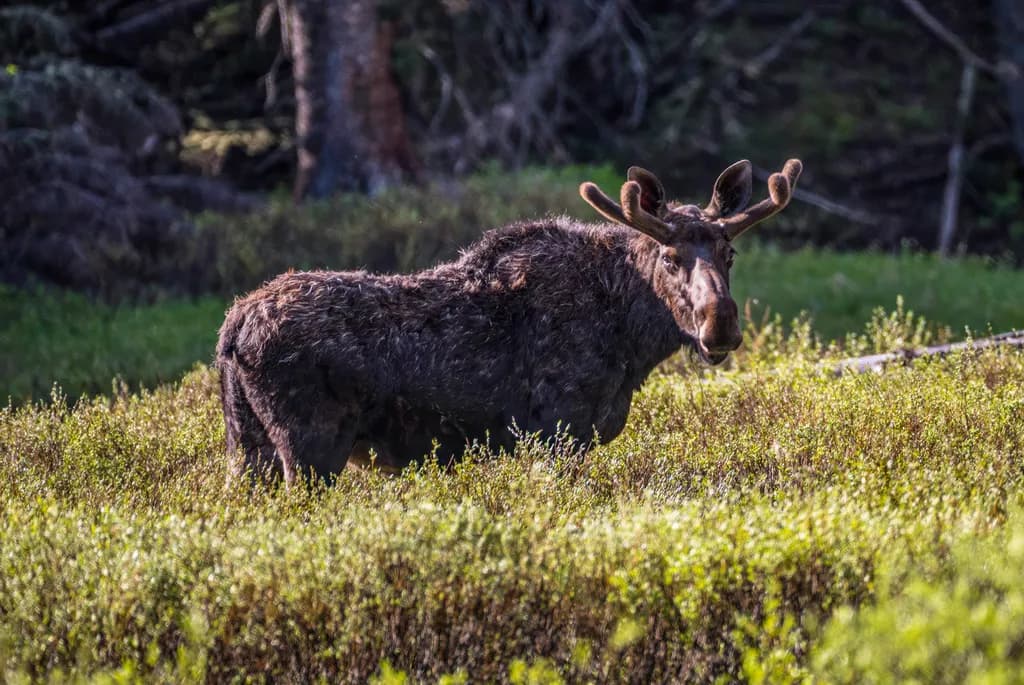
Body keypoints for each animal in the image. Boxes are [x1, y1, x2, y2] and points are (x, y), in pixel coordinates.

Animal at [216, 159, 803, 483]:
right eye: (669, 256)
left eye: (730, 253)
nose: (719, 326)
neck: (631, 345)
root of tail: (230, 332)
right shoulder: (557, 430)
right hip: (308, 446)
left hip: (247, 448)